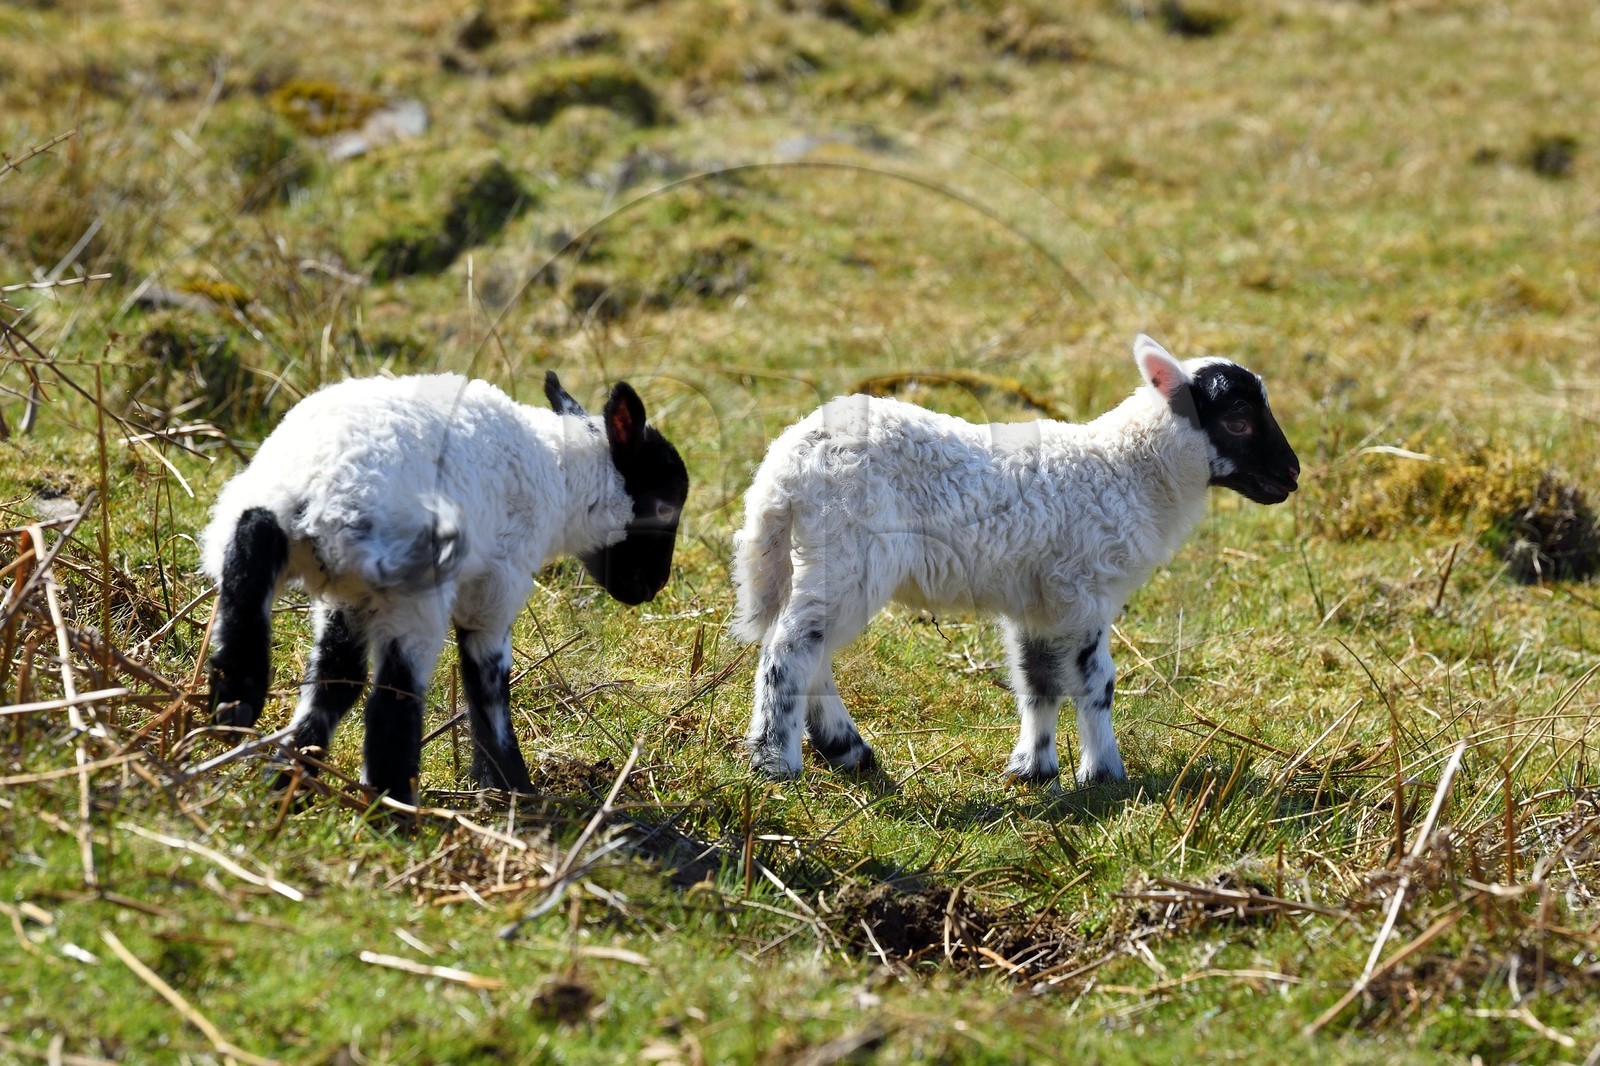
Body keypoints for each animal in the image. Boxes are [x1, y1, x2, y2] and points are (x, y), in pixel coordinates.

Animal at [201, 371, 689, 806]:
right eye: (665, 507)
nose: (653, 586)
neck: (562, 475)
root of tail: (330, 497)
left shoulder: (348, 601)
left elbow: (335, 682)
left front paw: (290, 776)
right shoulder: (496, 590)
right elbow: (488, 690)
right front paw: (514, 790)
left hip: (271, 510)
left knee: (255, 547)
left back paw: (237, 700)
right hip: (414, 593)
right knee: (394, 698)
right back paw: (393, 807)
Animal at [731, 334, 1299, 784]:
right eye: (1239, 420)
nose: (1292, 474)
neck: (1128, 470)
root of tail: (786, 465)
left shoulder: (1040, 600)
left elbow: (1037, 682)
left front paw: (1034, 768)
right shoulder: (1084, 590)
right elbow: (1096, 682)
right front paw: (1104, 773)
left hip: (823, 559)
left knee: (808, 648)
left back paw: (846, 750)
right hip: (849, 551)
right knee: (791, 651)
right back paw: (776, 762)